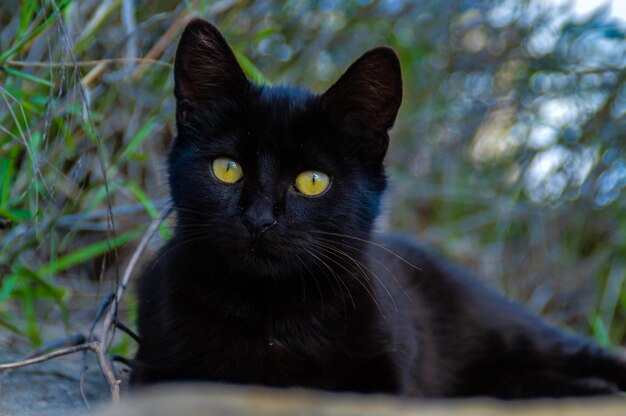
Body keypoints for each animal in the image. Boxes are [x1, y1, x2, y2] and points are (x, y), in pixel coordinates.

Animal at [130, 18, 624, 396]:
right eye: (227, 169)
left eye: (312, 181)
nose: (259, 218)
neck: (270, 317)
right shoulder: (156, 368)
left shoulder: (385, 378)